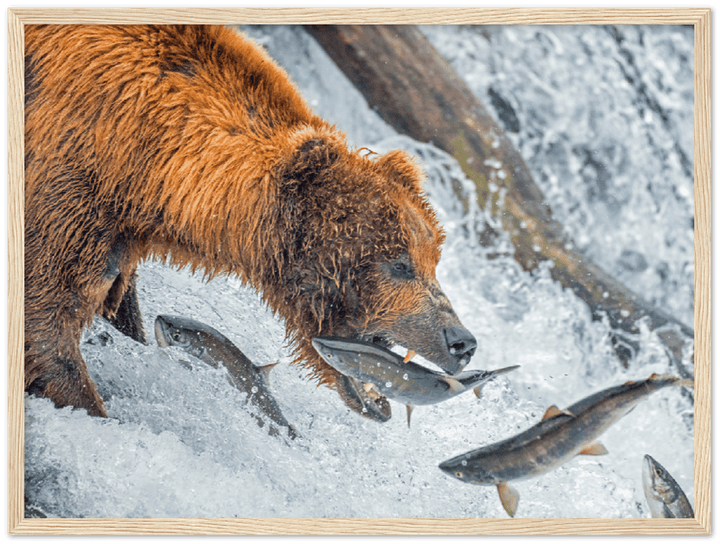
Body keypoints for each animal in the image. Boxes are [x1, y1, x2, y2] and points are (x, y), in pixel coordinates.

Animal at [24, 25, 477, 422]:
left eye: (432, 258)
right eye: (398, 263)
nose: (462, 341)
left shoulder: (119, 232)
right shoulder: (70, 183)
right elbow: (46, 323)